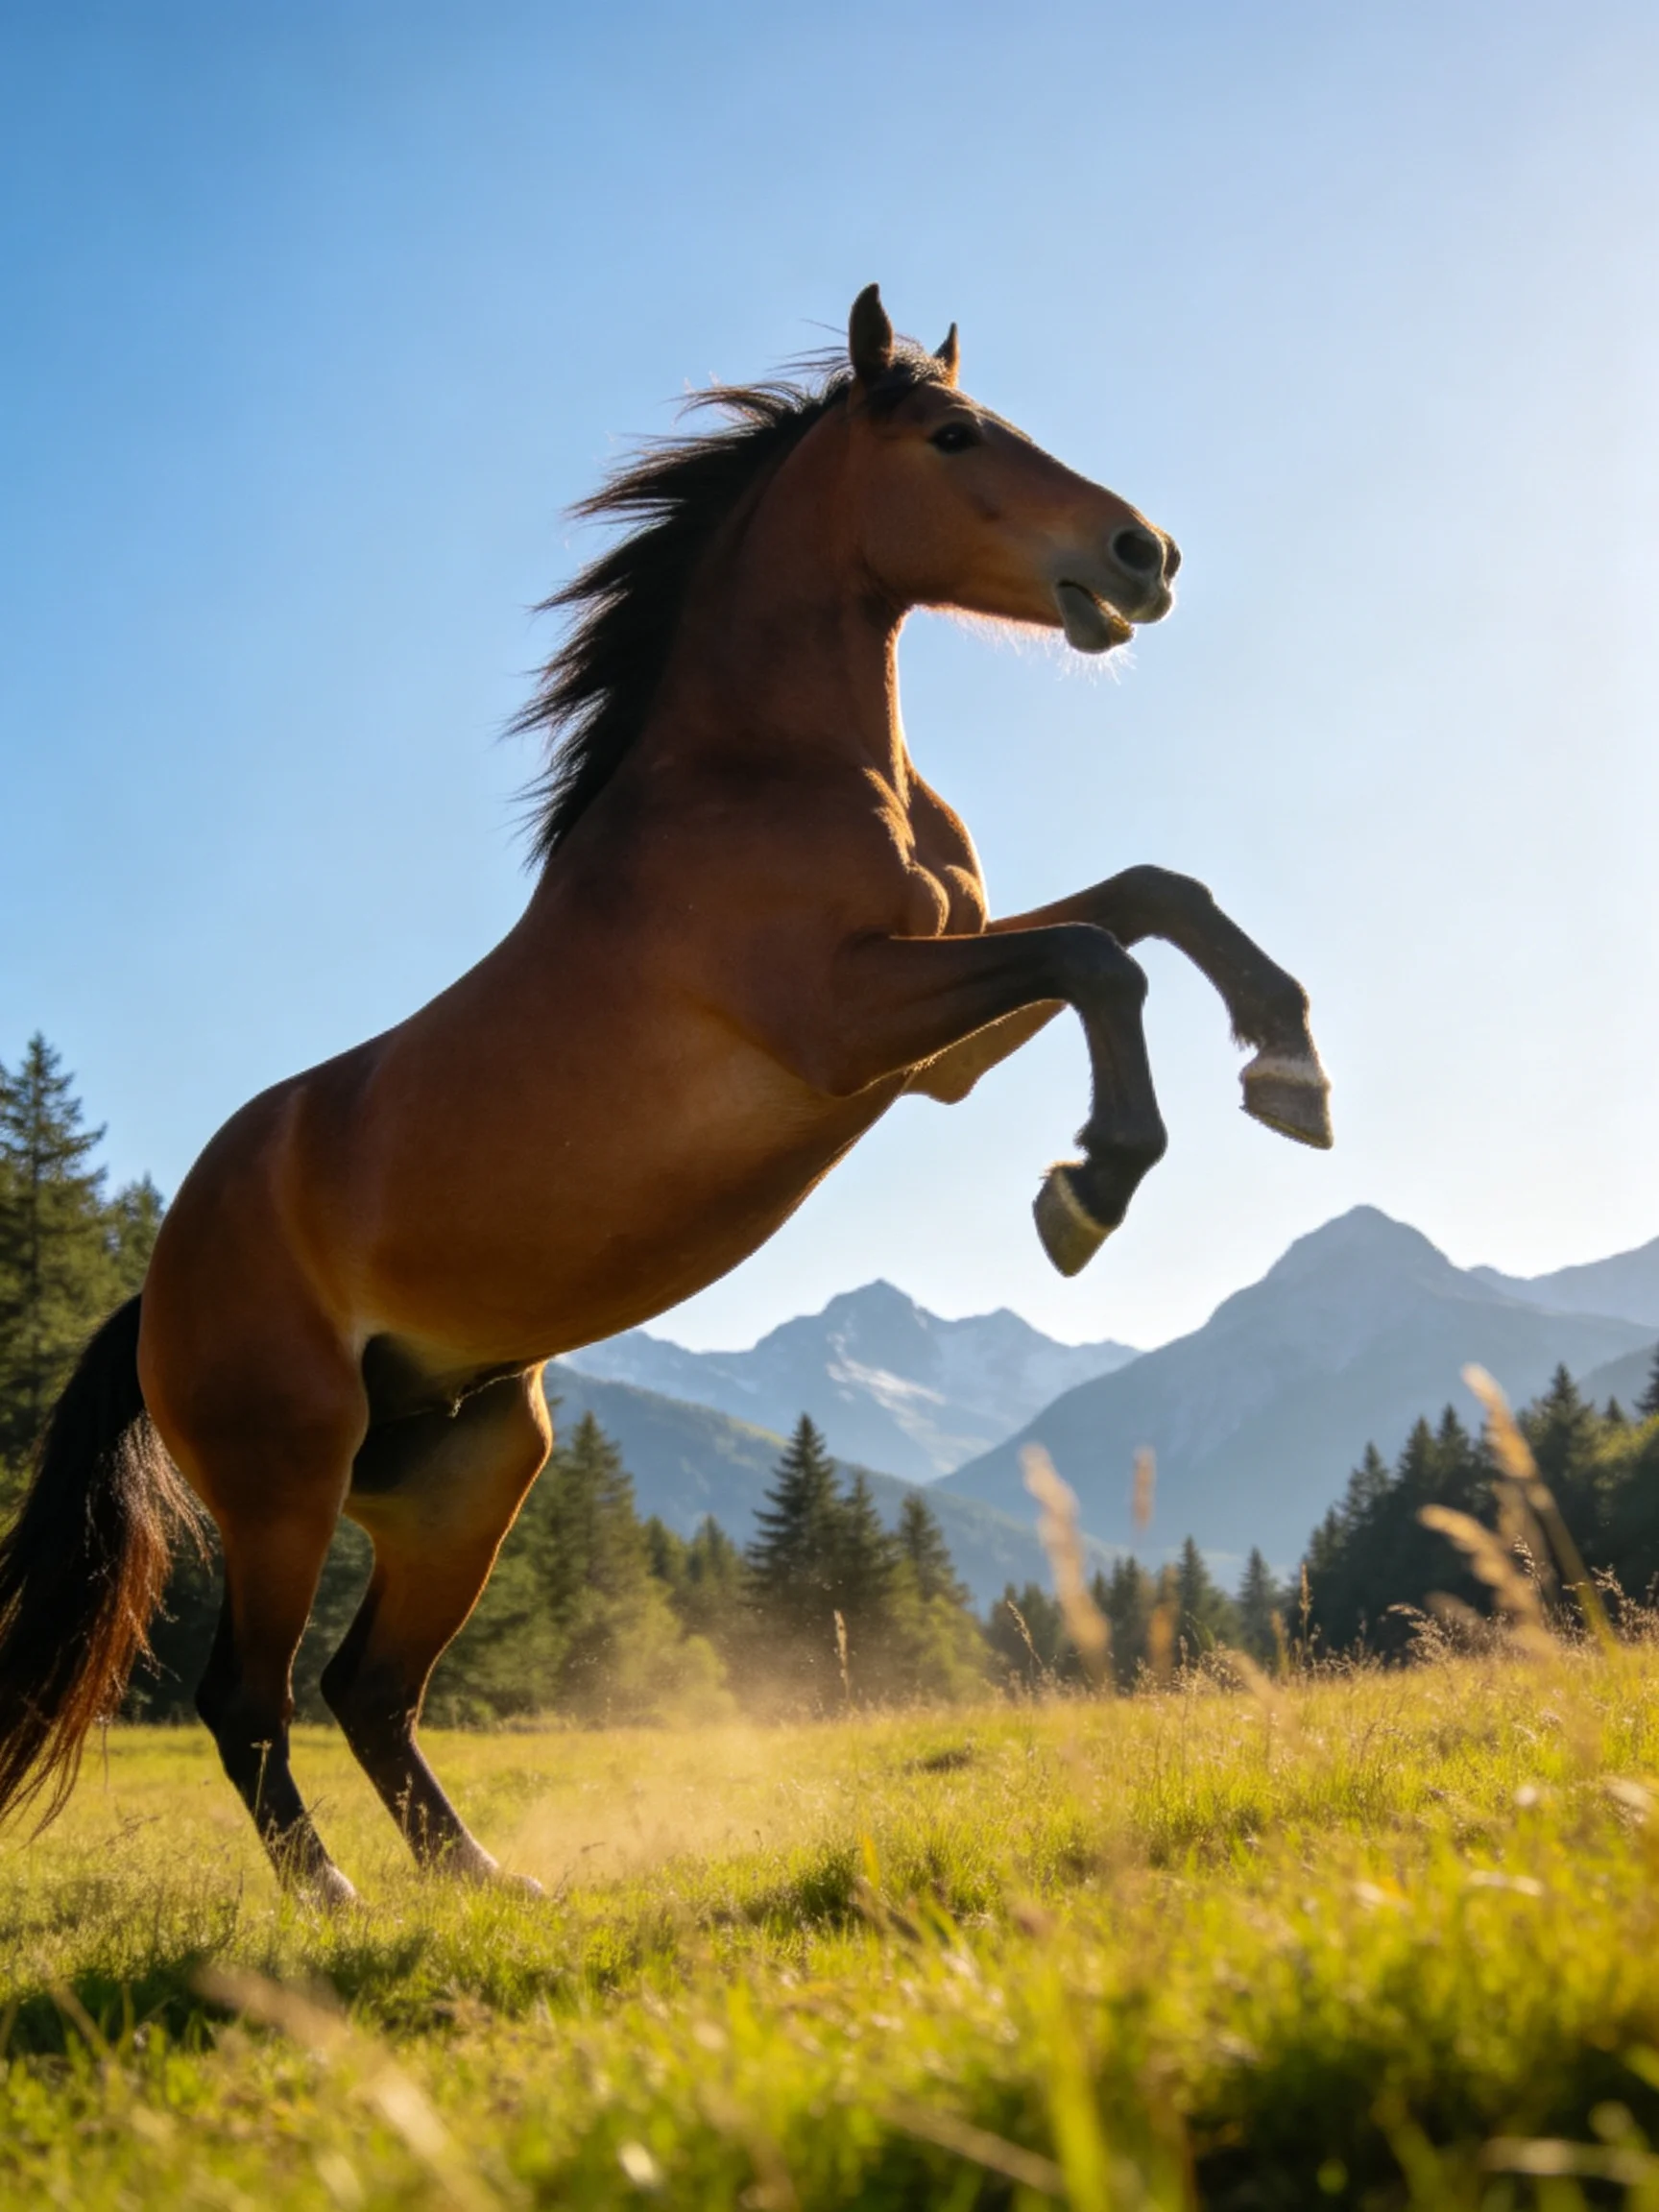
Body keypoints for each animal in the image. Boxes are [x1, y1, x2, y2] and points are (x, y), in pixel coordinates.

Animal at [0, 287, 1330, 1902]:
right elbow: (1097, 956)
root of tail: (158, 1289)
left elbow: (1148, 898)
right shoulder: (848, 1026)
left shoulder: (935, 1050)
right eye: (956, 435)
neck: (766, 774)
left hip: (470, 1472)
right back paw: (334, 1902)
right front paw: (1092, 1188)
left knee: (368, 1689)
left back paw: (485, 1885)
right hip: (284, 1485)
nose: (1146, 555)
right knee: (248, 1697)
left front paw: (1289, 1064)